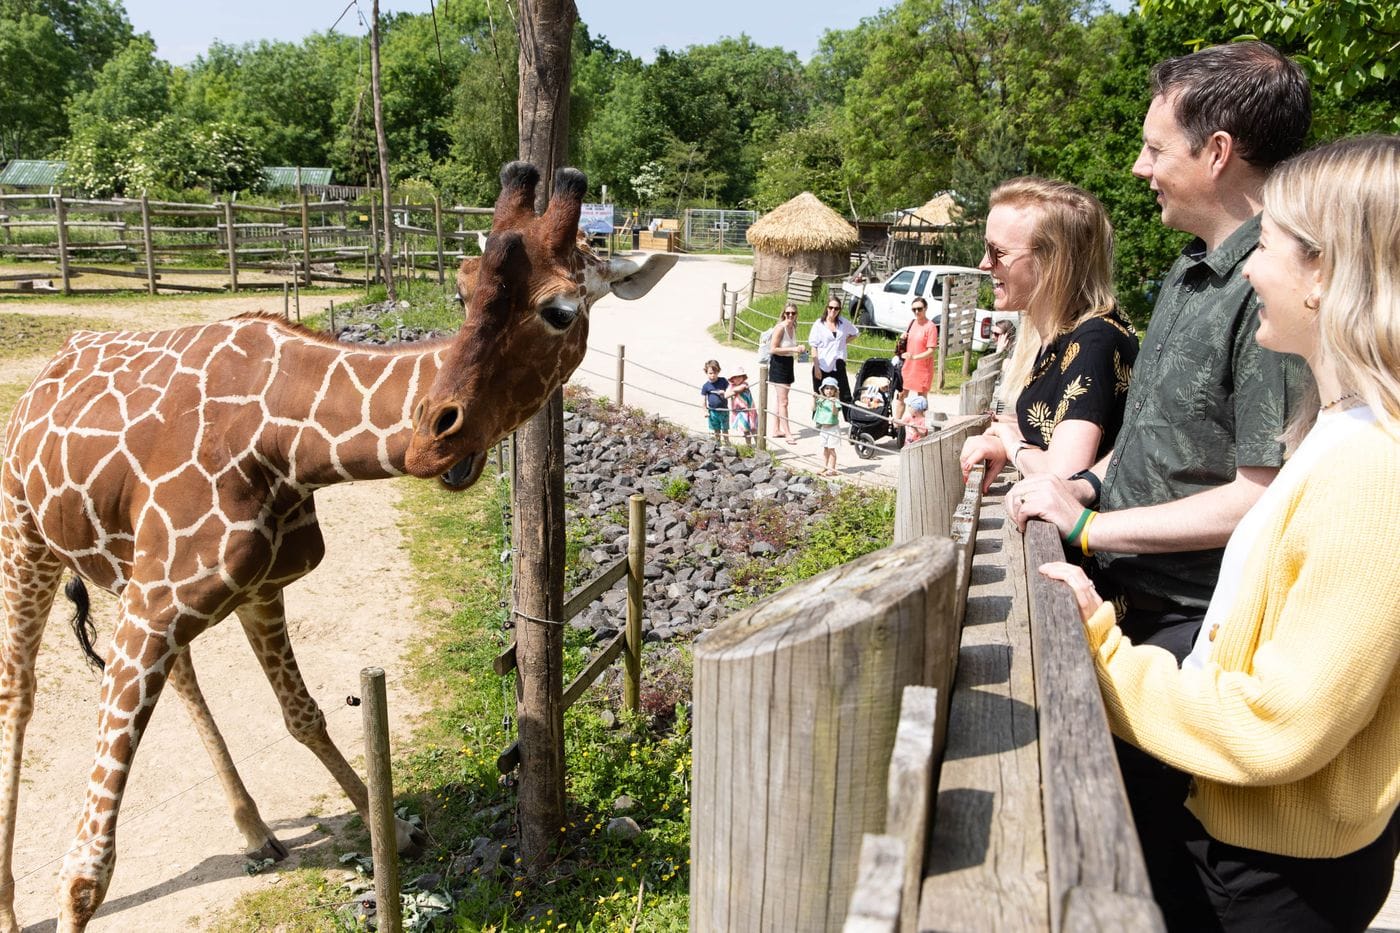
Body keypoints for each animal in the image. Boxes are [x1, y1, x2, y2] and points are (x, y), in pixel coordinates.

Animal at [0, 161, 673, 932]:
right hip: (26, 536)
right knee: (18, 691)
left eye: (561, 309)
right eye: (461, 287)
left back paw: (255, 831)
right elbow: (87, 869)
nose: (432, 437)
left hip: (121, 566)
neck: (285, 440)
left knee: (179, 674)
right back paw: (11, 906)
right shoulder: (158, 604)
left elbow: (304, 713)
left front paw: (397, 830)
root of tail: (44, 376)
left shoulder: (245, 587)